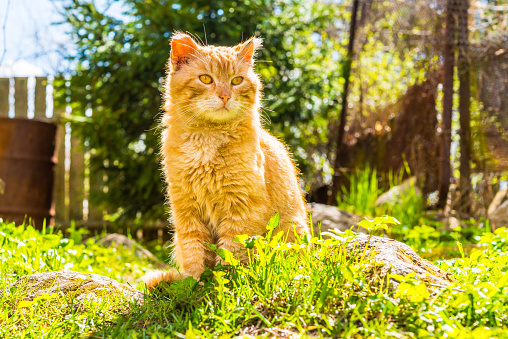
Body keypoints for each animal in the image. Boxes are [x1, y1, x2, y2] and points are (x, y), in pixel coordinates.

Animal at [143, 32, 310, 290]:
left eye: (236, 80)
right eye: (205, 79)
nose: (224, 95)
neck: (207, 139)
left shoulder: (241, 208)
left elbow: (230, 255)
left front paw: (223, 285)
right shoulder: (186, 210)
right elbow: (194, 255)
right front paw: (194, 285)